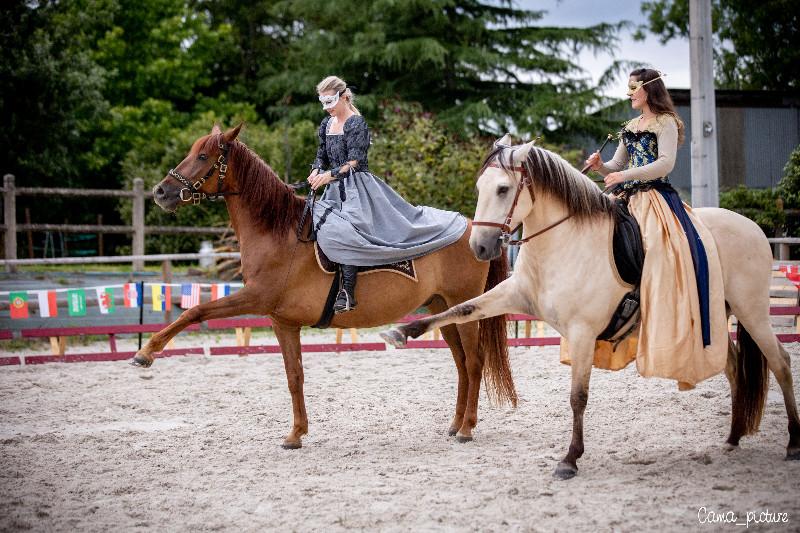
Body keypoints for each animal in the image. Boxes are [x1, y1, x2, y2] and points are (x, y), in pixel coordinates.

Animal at [130, 122, 520, 446]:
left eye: (203, 156)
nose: (161, 192)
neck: (279, 232)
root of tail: (474, 228)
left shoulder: (254, 299)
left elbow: (195, 310)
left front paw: (146, 352)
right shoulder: (282, 321)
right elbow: (294, 376)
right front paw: (296, 434)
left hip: (463, 307)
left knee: (474, 362)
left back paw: (467, 428)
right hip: (443, 308)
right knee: (461, 363)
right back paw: (455, 424)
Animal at [382, 136, 800, 478]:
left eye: (502, 188)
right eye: (480, 187)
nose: (480, 247)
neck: (563, 241)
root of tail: (752, 227)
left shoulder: (582, 332)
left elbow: (577, 397)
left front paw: (569, 459)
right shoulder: (512, 295)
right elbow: (460, 309)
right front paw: (402, 331)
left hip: (751, 311)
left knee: (779, 361)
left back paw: (793, 442)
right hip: (715, 317)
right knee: (732, 368)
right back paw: (732, 439)